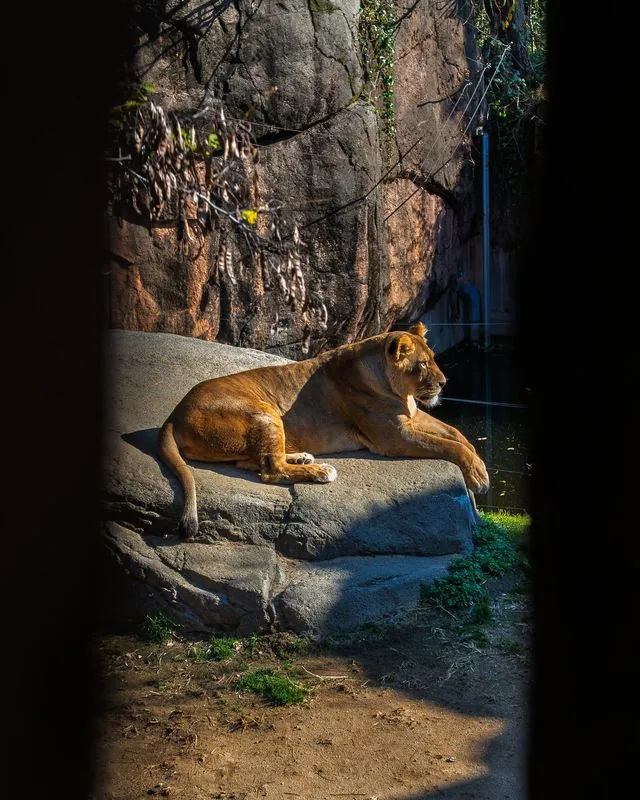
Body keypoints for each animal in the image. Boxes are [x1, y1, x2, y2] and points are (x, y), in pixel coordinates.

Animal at [158, 322, 489, 539]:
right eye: (422, 364)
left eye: (433, 359)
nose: (444, 383)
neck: (397, 389)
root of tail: (174, 414)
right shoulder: (392, 436)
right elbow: (450, 445)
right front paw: (479, 478)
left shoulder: (412, 415)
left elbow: (458, 436)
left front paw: (479, 468)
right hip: (264, 412)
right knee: (270, 470)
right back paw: (320, 471)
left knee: (252, 461)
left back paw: (303, 457)